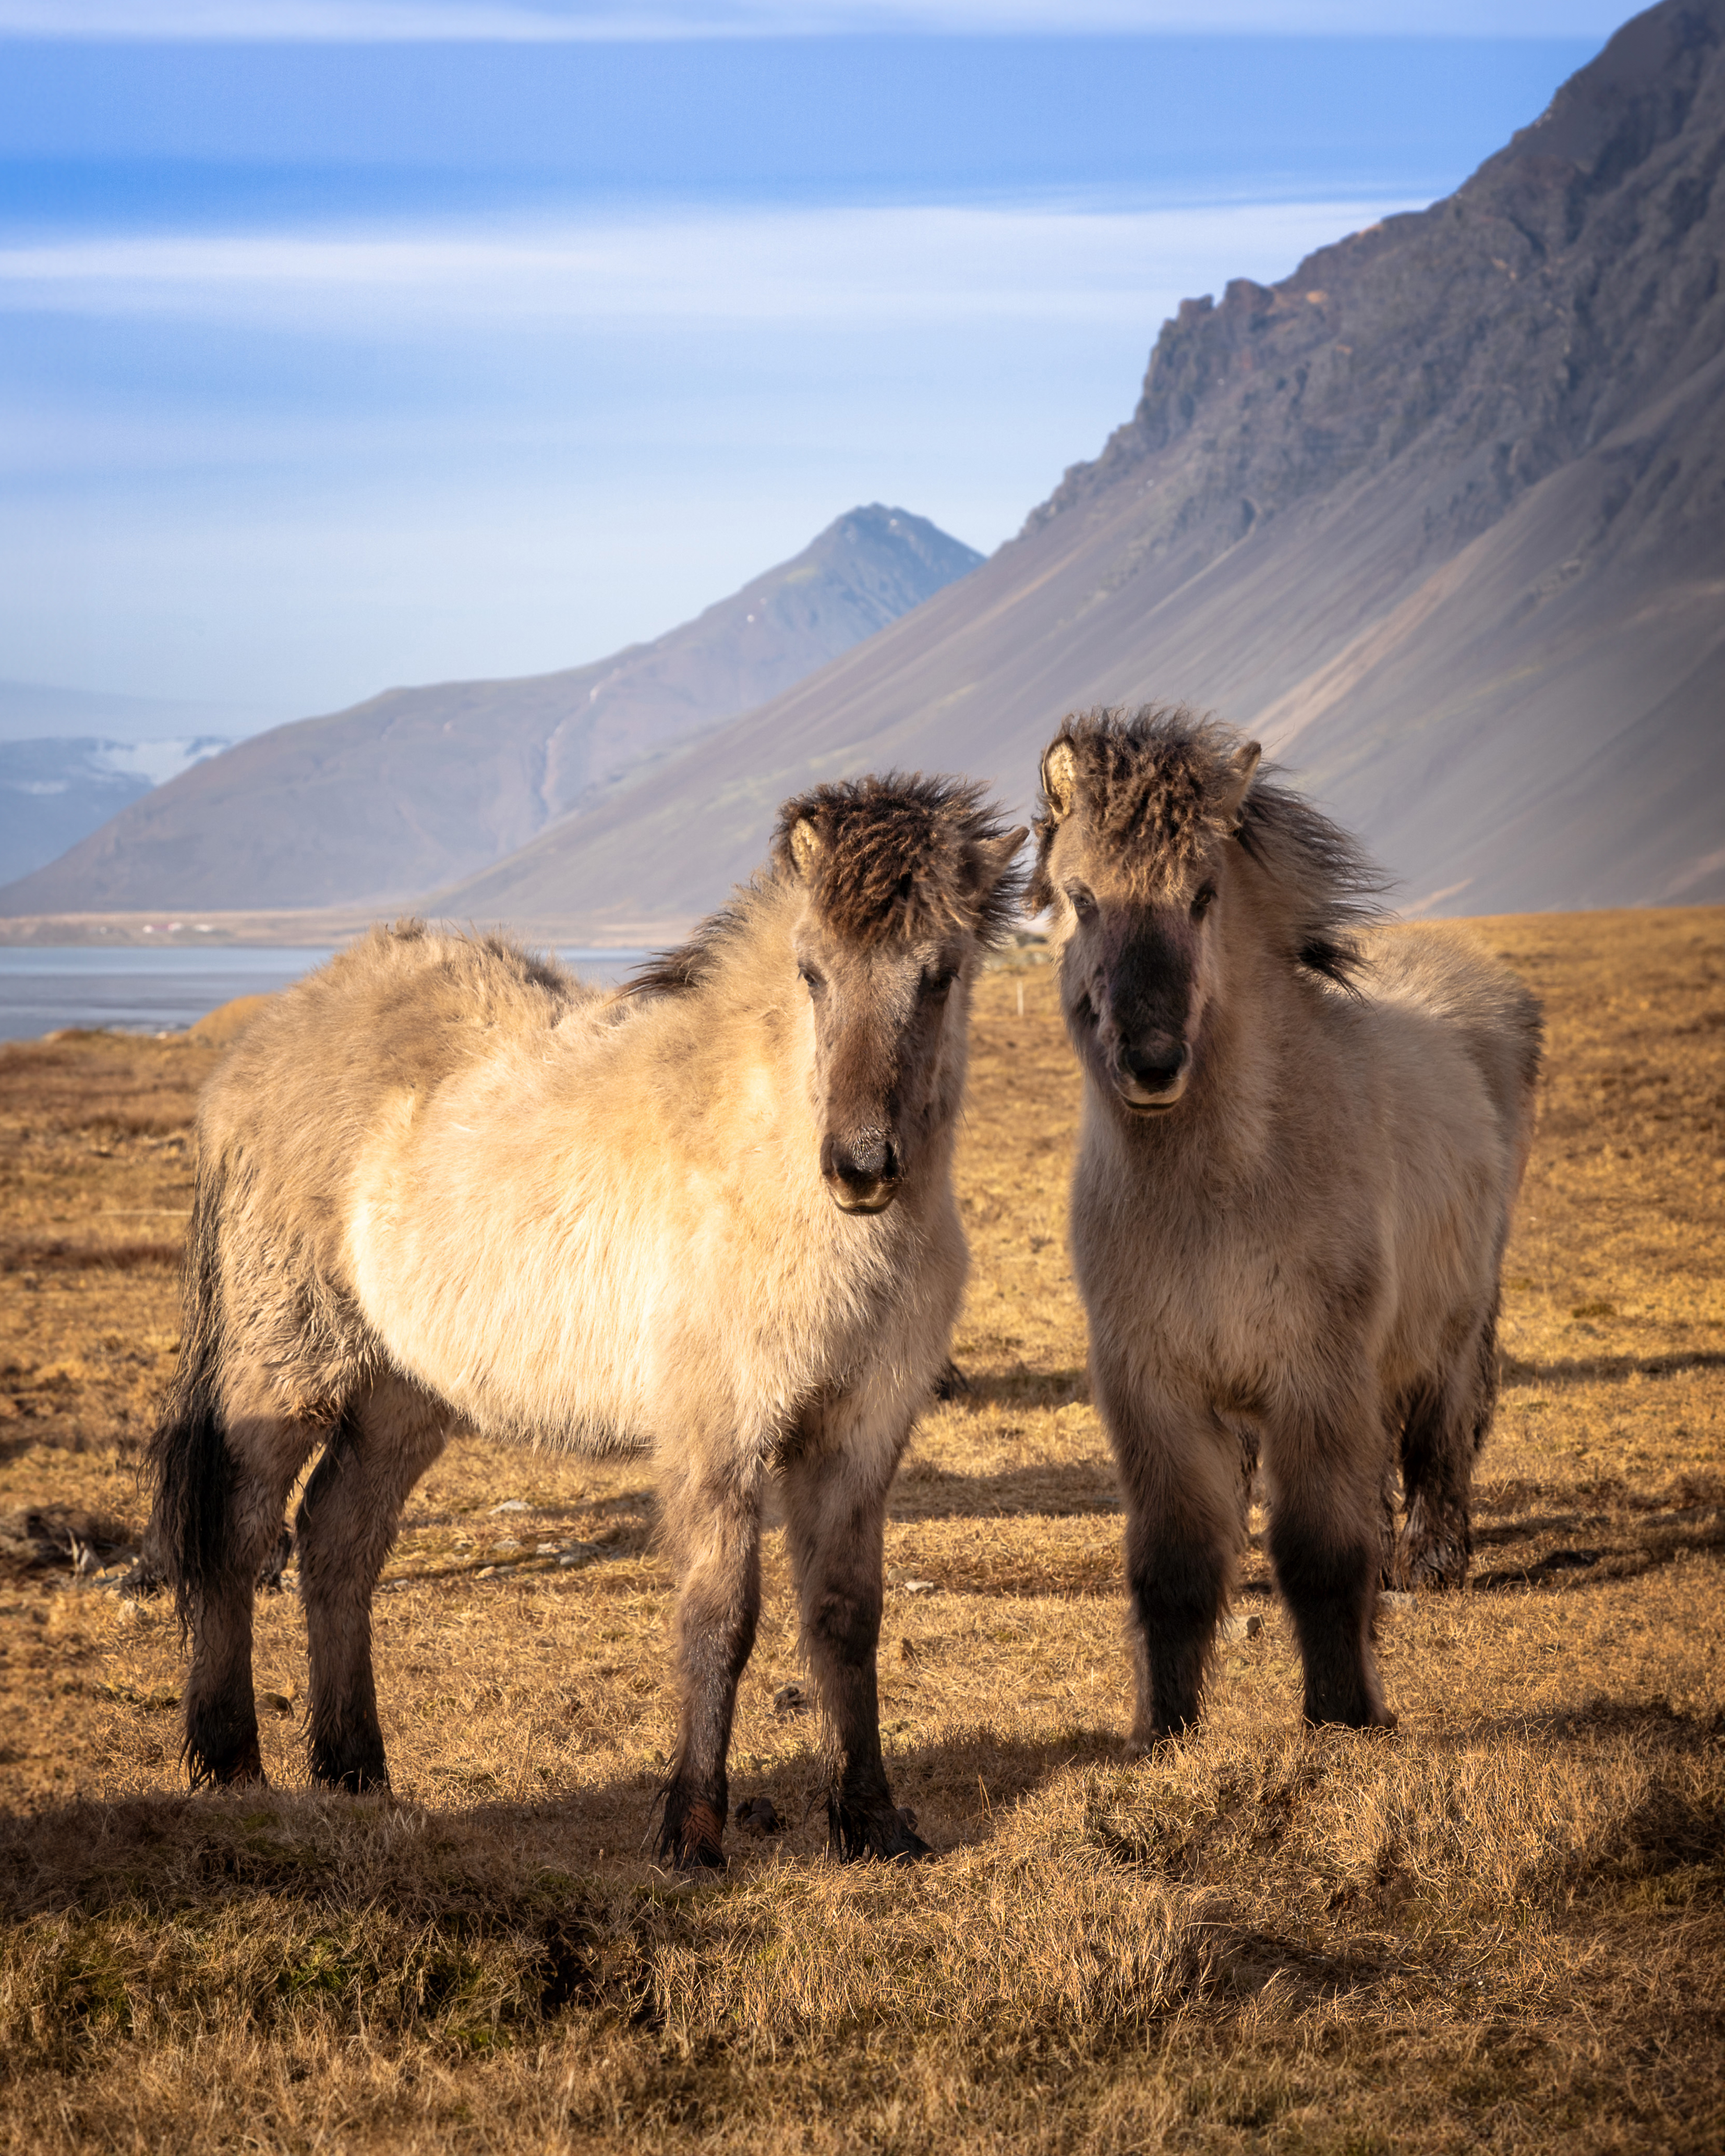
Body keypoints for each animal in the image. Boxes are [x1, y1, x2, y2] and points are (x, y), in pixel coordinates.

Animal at [149, 780, 1026, 1871]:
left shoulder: (859, 1434)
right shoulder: (718, 1433)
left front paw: (872, 1823)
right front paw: (690, 1830)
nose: (861, 1165)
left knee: (336, 1539)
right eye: (812, 969)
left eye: (940, 972)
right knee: (237, 1532)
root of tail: (256, 1048)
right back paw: (231, 1764)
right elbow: (719, 1618)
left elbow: (844, 1616)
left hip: (406, 1392)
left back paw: (356, 1772)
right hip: (290, 1363)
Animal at [1030, 707, 1543, 1733]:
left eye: (1201, 894)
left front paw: (1343, 1715)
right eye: (1081, 894)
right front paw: (1164, 1727)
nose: (1151, 1061)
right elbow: (1175, 1562)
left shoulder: (1313, 1377)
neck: (1219, 1192)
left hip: (1451, 1326)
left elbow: (1318, 1549)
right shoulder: (1155, 1392)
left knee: (1440, 1436)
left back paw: (1430, 1562)